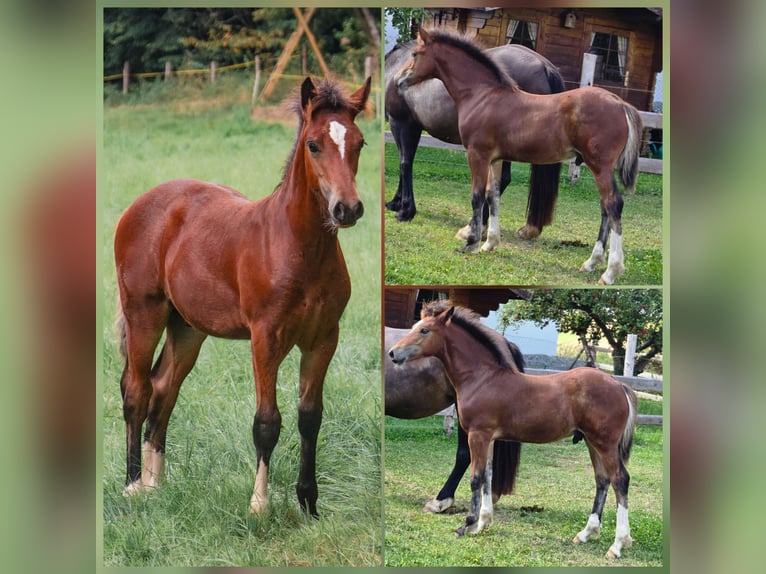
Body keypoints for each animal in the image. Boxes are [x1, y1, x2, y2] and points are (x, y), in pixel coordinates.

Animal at [113, 76, 371, 518]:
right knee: (136, 389)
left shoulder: (323, 338)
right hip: (143, 312)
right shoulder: (265, 338)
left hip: (188, 327)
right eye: (313, 144)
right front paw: (259, 505)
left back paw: (153, 484)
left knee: (163, 389)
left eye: (359, 142)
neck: (298, 247)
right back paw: (132, 486)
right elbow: (266, 422)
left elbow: (310, 416)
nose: (347, 209)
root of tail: (140, 204)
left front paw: (309, 504)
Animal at [385, 40, 564, 241]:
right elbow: (406, 162)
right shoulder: (412, 127)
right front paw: (396, 203)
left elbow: (405, 164)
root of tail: (544, 66)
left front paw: (405, 210)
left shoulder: (401, 123)